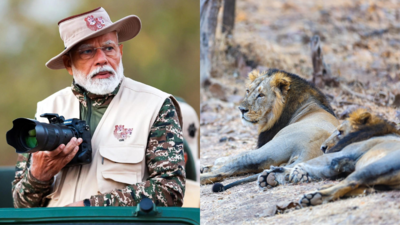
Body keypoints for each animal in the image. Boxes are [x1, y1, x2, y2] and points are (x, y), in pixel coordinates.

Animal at [202, 68, 340, 188]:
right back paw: (269, 177)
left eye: (261, 95)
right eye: (248, 91)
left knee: (231, 166)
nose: (241, 109)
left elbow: (234, 155)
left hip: (268, 150)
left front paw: (212, 164)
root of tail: (310, 150)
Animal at [255, 108, 400, 207]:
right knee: (360, 187)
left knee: (349, 183)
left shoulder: (342, 154)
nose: (322, 148)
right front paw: (273, 176)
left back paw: (314, 196)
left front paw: (291, 172)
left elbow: (311, 162)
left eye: (340, 132)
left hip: (374, 167)